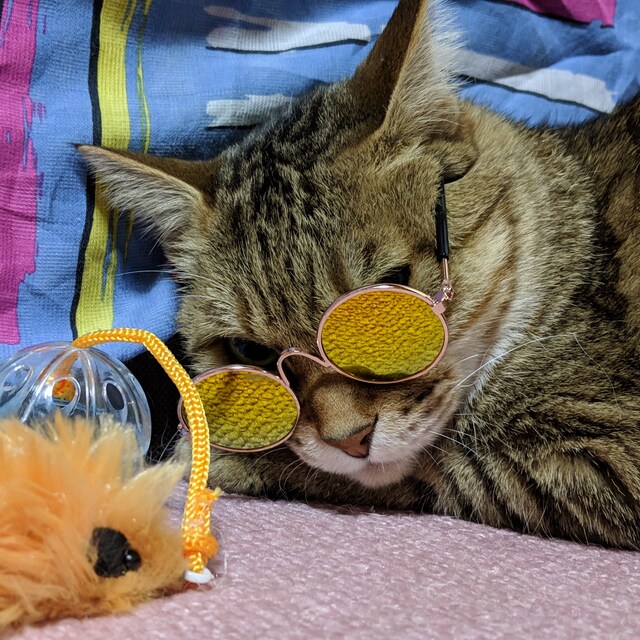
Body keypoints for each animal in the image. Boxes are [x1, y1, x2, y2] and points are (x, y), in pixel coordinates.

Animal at [80, 0, 640, 549]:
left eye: (387, 298)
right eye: (250, 352)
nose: (348, 440)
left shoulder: (606, 453)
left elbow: (455, 465)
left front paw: (217, 454)